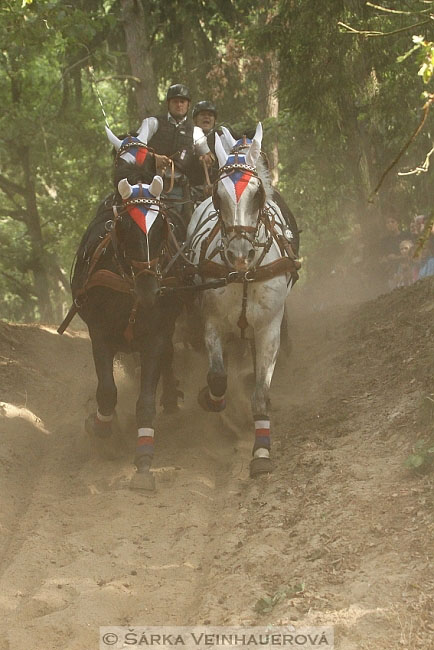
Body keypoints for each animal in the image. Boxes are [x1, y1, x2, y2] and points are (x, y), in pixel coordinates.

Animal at [71, 175, 181, 488]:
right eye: (126, 227)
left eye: (161, 226)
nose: (149, 289)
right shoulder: (100, 333)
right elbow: (107, 391)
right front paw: (102, 430)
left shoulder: (155, 336)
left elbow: (145, 402)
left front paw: (144, 462)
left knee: (169, 356)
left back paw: (171, 396)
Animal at [185, 123, 300, 476]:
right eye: (217, 195)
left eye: (257, 193)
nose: (239, 253)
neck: (244, 274)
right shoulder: (211, 320)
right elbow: (218, 377)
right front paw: (212, 399)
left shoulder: (269, 328)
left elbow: (260, 394)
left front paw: (261, 452)